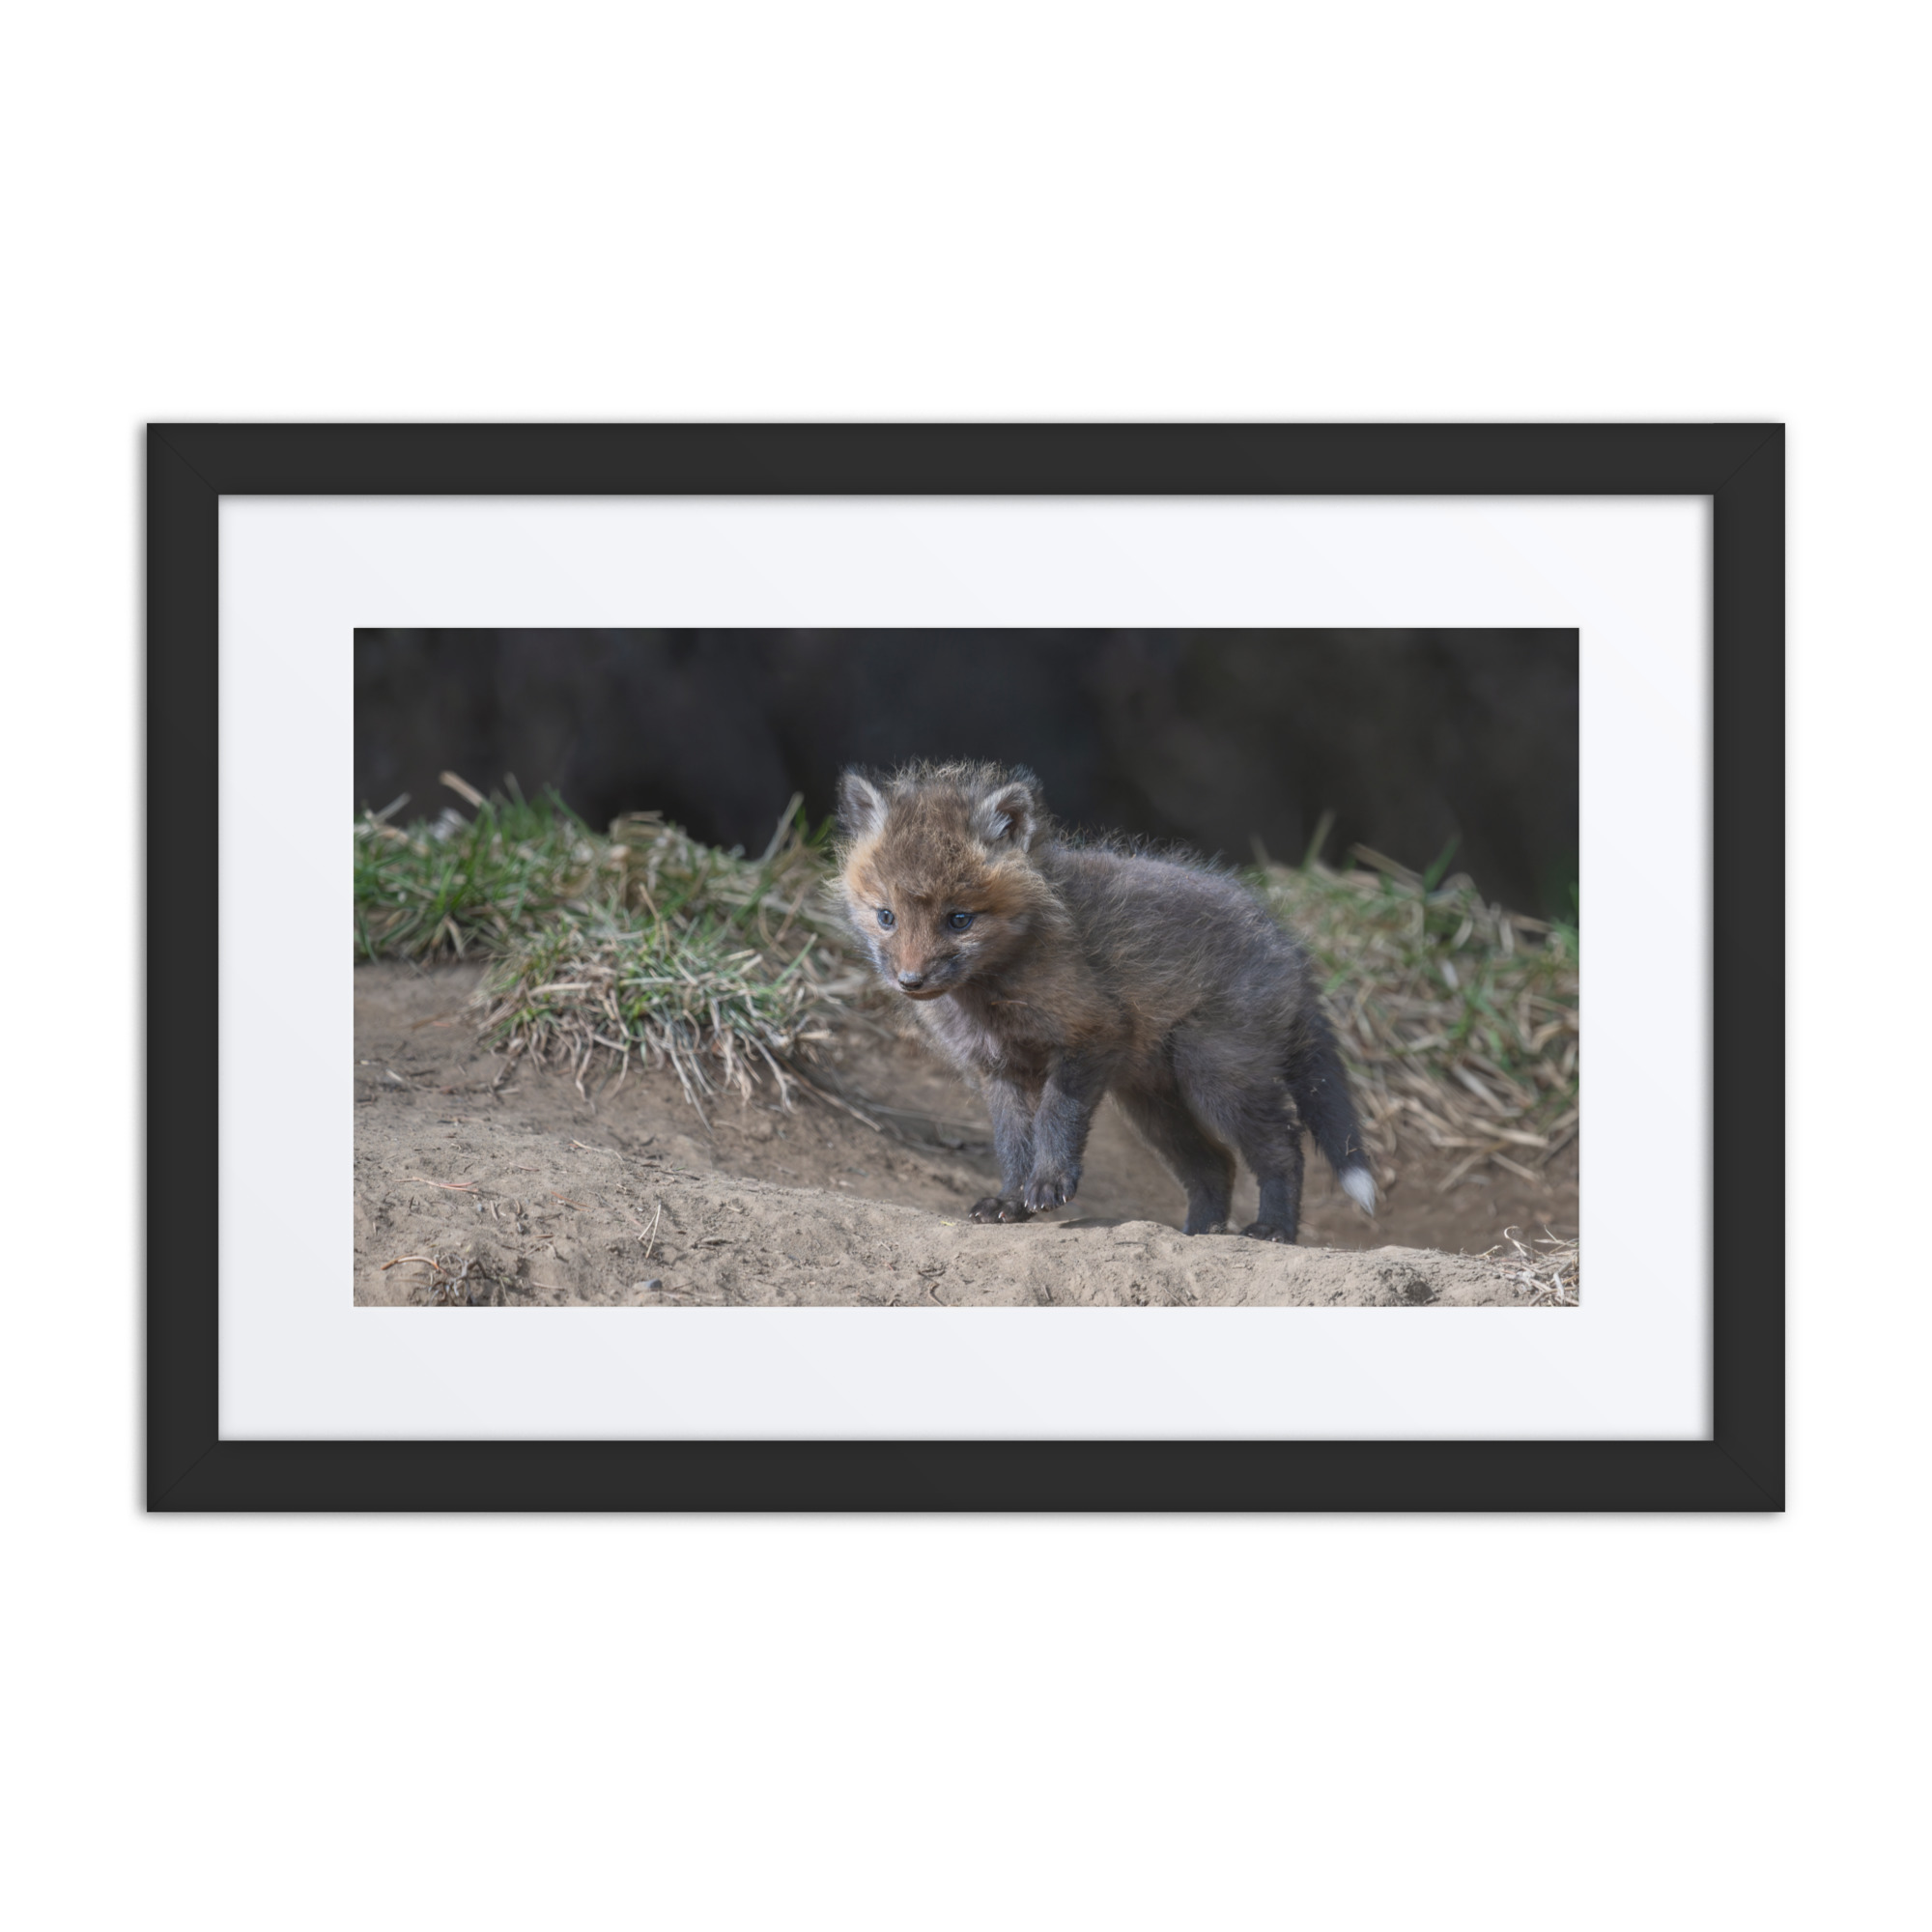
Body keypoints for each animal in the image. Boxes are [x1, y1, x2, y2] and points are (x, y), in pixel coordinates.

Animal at [834, 761, 1376, 1243]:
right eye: (886, 917)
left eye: (959, 919)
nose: (910, 981)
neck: (991, 996)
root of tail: (1288, 945)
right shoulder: (999, 1069)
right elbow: (1012, 1144)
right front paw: (1010, 1201)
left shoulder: (1091, 1034)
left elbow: (1056, 1118)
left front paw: (1049, 1184)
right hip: (1153, 1103)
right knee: (1216, 1165)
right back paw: (1199, 1234)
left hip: (1216, 1075)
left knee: (1283, 1147)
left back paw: (1273, 1230)